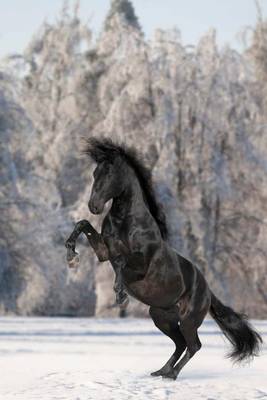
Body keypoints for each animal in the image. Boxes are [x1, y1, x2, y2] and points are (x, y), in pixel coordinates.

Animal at [66, 139, 262, 380]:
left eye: (110, 173)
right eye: (95, 173)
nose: (94, 206)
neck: (126, 221)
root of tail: (208, 291)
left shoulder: (140, 262)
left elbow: (122, 261)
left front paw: (120, 294)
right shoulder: (105, 252)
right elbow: (83, 225)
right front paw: (71, 256)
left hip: (188, 320)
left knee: (193, 345)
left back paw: (172, 374)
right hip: (161, 316)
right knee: (180, 344)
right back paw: (162, 371)